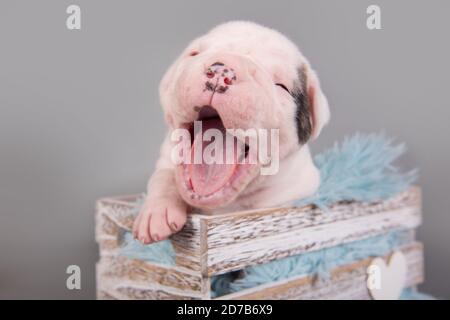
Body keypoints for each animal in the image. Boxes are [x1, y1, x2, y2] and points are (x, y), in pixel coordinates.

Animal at [132, 21, 328, 244]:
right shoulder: (167, 156)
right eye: (194, 54)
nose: (222, 71)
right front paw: (156, 213)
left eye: (281, 86)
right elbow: (163, 176)